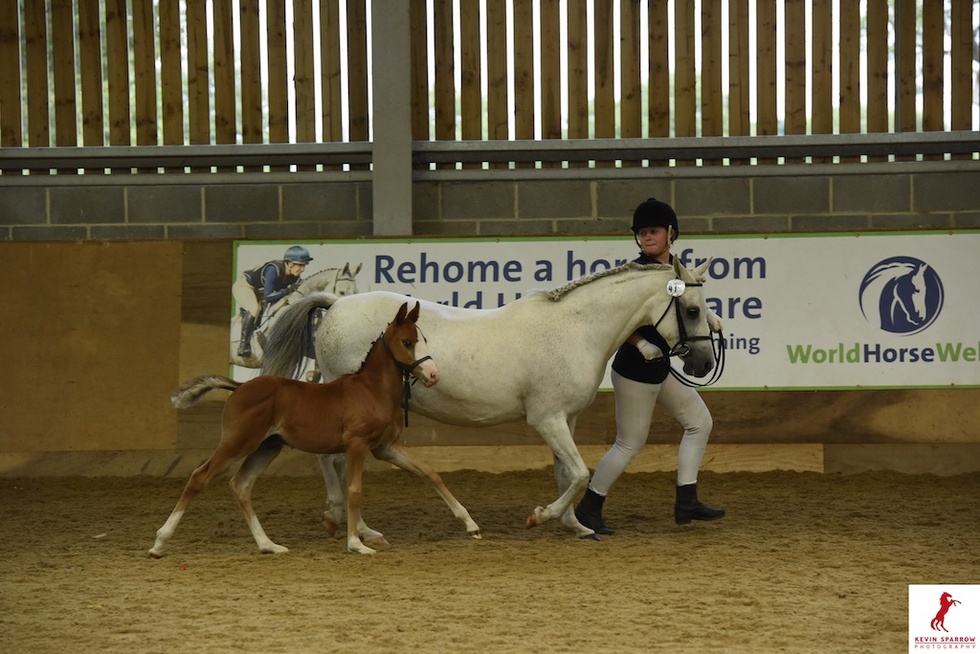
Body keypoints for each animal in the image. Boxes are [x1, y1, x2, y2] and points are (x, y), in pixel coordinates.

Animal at [150, 301, 481, 557]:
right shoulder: (357, 445)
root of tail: (239, 386)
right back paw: (159, 543)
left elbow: (429, 473)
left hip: (267, 446)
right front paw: (356, 544)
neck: (372, 391)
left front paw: (471, 525)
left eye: (424, 339)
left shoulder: (385, 448)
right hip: (237, 442)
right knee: (199, 477)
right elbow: (354, 490)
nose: (433, 375)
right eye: (407, 342)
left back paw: (269, 545)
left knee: (241, 485)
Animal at [261, 258, 716, 540]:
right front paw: (541, 516)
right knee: (334, 462)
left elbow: (567, 474)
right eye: (692, 310)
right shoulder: (546, 419)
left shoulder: (564, 419)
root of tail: (336, 305)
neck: (575, 328)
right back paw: (351, 523)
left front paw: (575, 526)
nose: (703, 362)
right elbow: (580, 473)